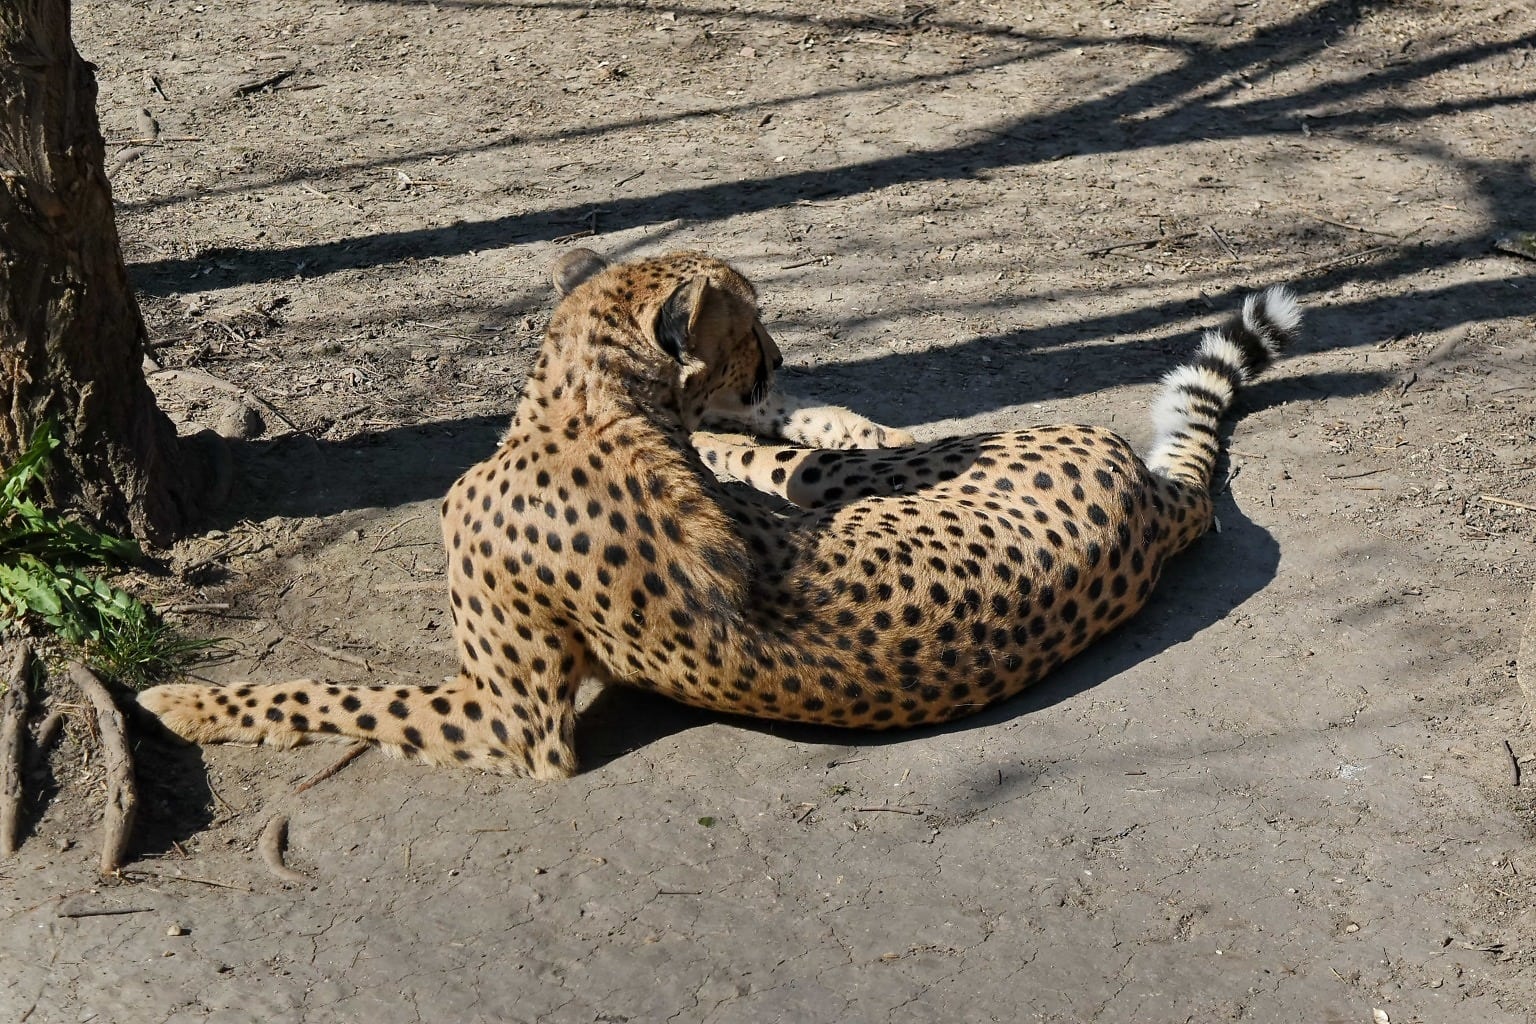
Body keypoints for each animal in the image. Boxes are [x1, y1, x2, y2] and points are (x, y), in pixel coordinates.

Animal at [141, 245, 1296, 776]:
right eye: (752, 321)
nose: (777, 358)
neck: (588, 402)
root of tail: (1155, 506)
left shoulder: (520, 726)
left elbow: (335, 695)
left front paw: (185, 704)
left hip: (858, 484)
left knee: (806, 455)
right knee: (808, 445)